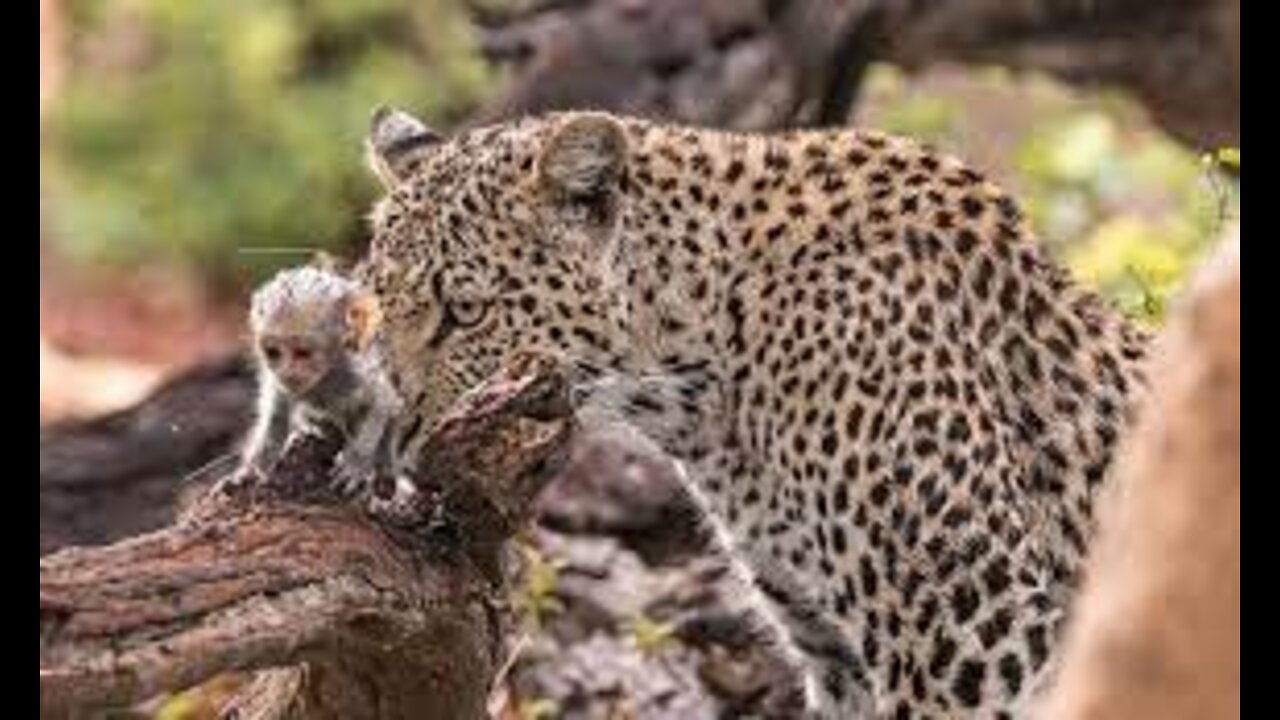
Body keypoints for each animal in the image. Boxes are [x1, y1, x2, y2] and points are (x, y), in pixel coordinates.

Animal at [239, 260, 399, 497]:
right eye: (273, 352)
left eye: (303, 353)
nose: (287, 372)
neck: (326, 376)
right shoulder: (277, 380)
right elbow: (276, 408)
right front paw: (257, 464)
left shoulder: (358, 374)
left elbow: (384, 402)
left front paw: (356, 462)